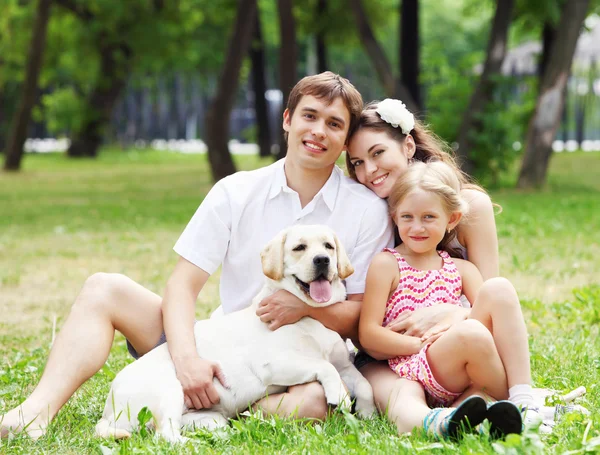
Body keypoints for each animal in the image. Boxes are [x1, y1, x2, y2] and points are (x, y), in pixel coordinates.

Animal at [95, 226, 376, 444]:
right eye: (299, 247)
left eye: (329, 246)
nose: (322, 260)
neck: (312, 316)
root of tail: (108, 410)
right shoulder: (274, 364)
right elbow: (324, 366)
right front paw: (339, 394)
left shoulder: (344, 366)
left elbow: (365, 385)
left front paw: (369, 414)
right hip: (169, 390)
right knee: (165, 435)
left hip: (209, 417)